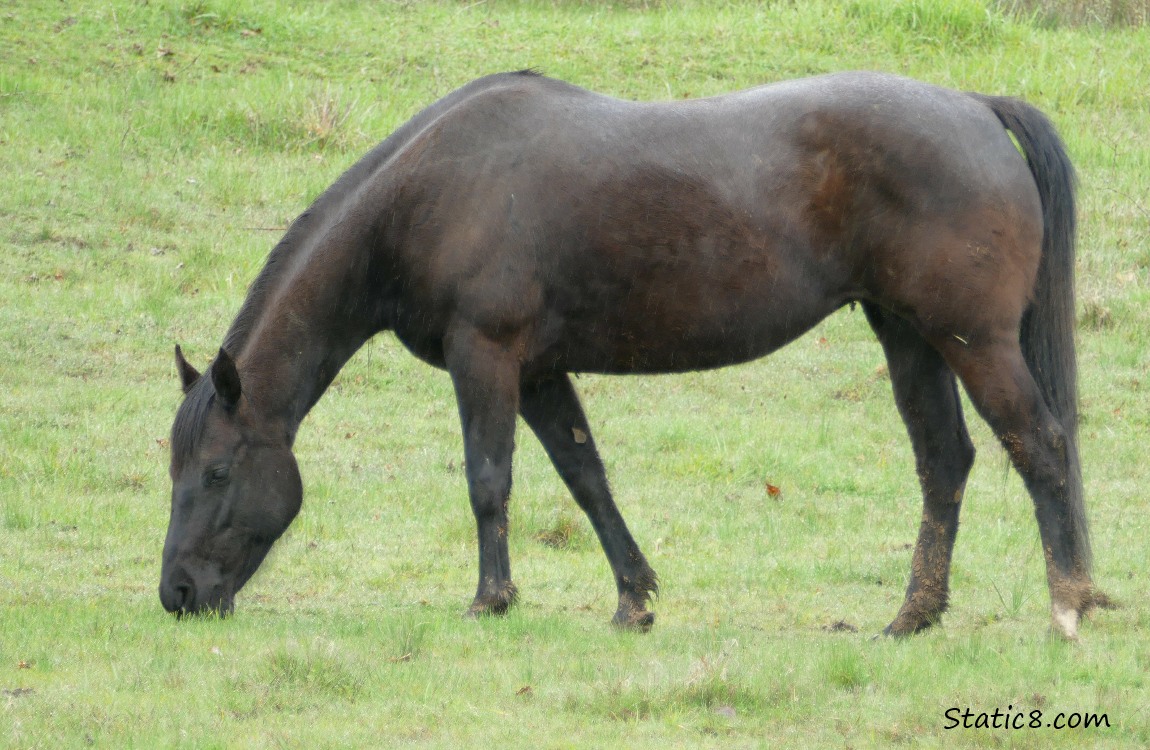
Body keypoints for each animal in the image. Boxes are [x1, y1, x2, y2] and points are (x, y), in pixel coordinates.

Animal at [159, 68, 1104, 639]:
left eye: (215, 472)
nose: (177, 595)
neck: (432, 191)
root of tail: (974, 106)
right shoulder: (540, 373)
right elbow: (587, 479)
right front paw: (632, 600)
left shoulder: (486, 358)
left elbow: (488, 481)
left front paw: (492, 598)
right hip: (909, 337)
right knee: (945, 463)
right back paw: (913, 616)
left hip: (974, 343)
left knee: (1041, 447)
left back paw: (1067, 606)